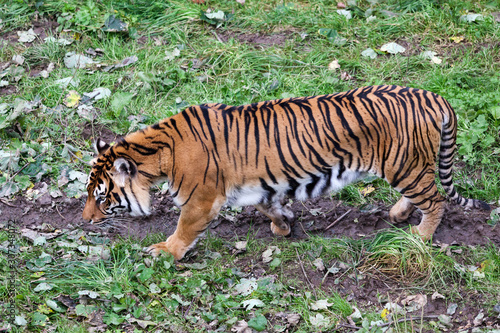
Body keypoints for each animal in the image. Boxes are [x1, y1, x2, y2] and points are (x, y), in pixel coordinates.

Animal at [84, 83, 490, 260]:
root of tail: (433, 95)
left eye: (102, 198)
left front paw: (165, 251)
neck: (159, 153)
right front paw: (283, 226)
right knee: (424, 196)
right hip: (409, 167)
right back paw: (398, 214)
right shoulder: (257, 184)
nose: (85, 220)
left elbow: (184, 228)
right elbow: (267, 204)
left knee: (436, 200)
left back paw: (420, 236)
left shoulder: (201, 199)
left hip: (405, 165)